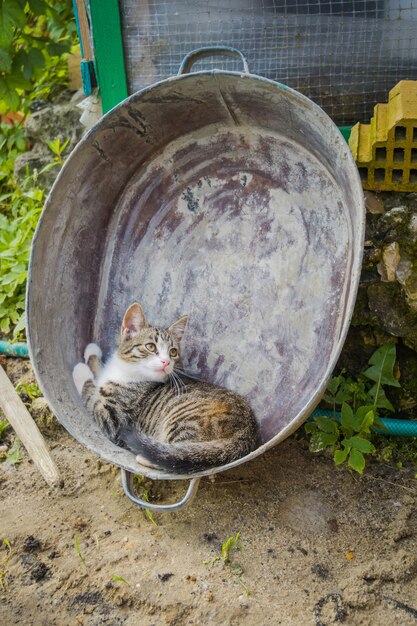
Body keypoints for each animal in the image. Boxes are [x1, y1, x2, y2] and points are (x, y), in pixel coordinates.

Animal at [72, 302, 260, 468]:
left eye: (173, 351)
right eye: (150, 346)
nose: (166, 362)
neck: (127, 371)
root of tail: (247, 430)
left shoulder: (114, 419)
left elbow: (91, 395)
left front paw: (81, 371)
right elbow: (97, 376)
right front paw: (92, 353)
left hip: (184, 422)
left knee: (179, 456)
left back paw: (149, 455)